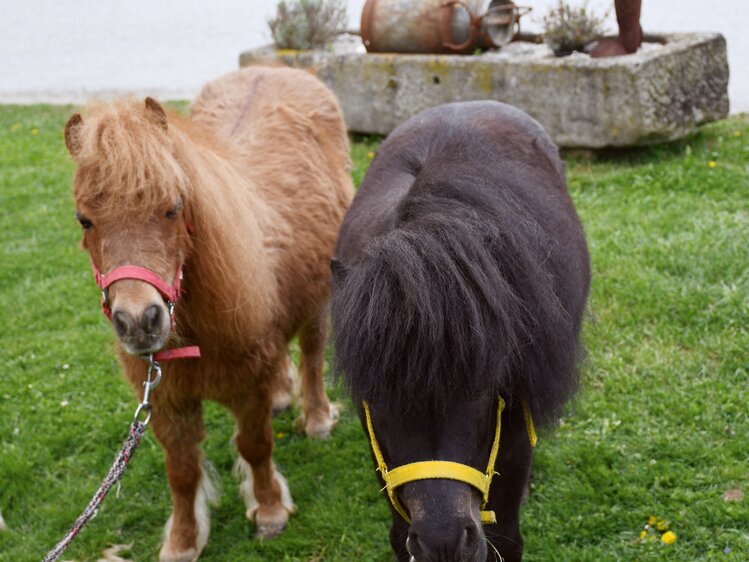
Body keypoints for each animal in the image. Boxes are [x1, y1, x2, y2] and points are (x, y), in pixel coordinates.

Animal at [65, 66, 354, 560]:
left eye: (172, 208)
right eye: (86, 220)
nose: (139, 322)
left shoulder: (247, 382)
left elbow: (255, 446)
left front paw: (269, 510)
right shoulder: (167, 399)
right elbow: (182, 471)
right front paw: (183, 540)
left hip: (318, 295)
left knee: (313, 352)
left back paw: (316, 418)